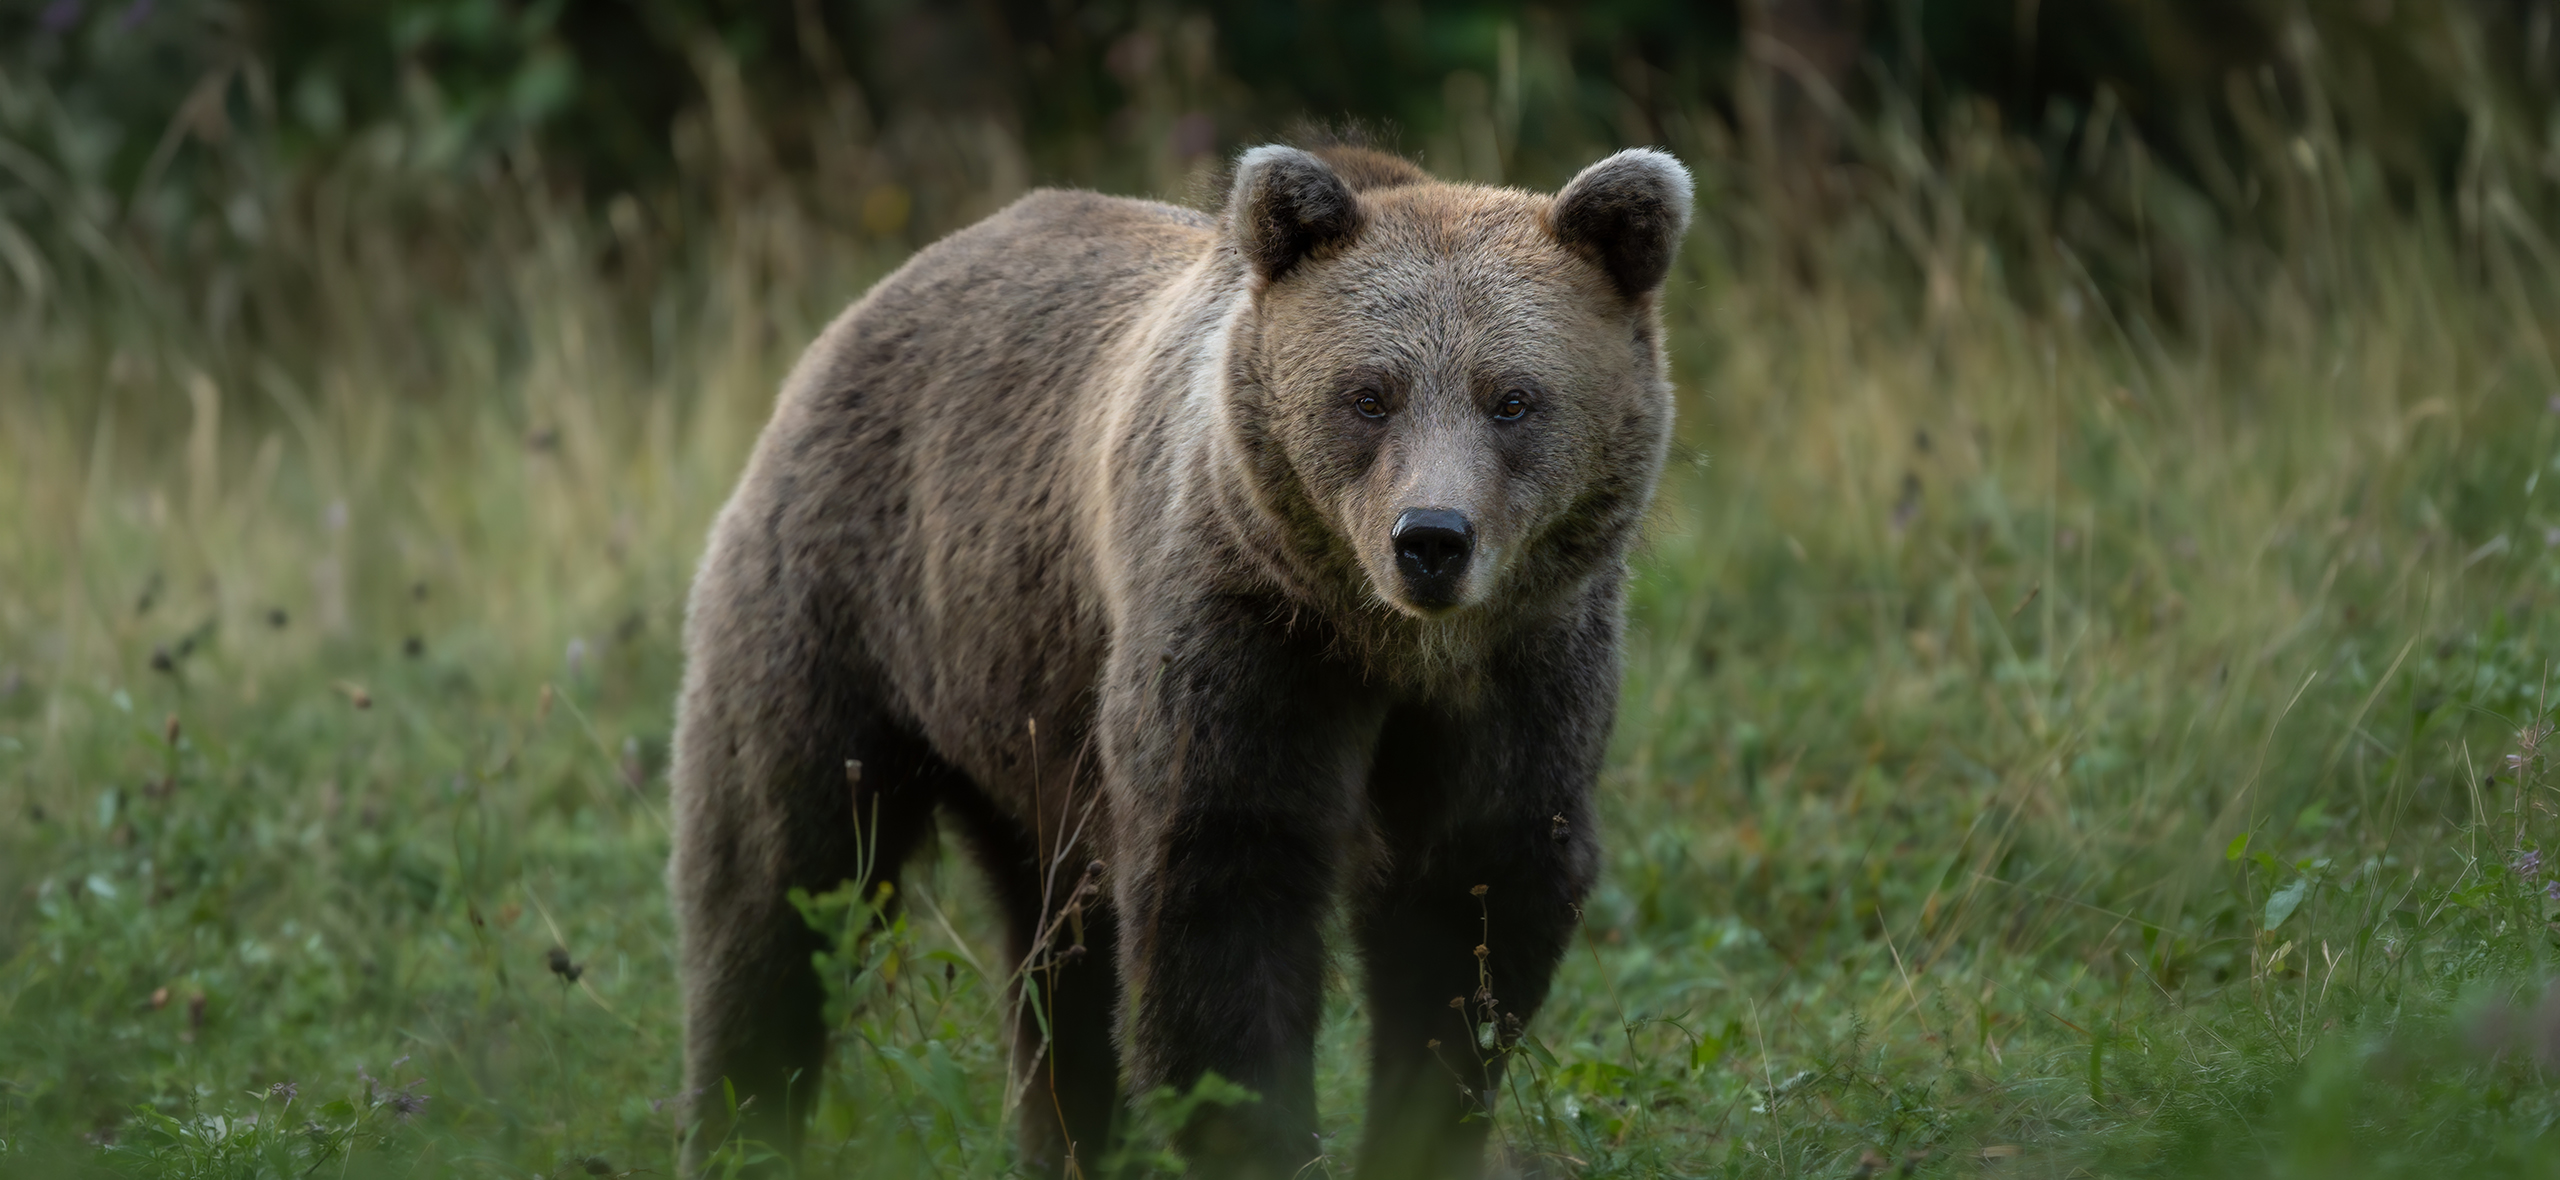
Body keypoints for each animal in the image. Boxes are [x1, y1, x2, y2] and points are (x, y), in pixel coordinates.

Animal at [667, 141, 1691, 1178]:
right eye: (1368, 395)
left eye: (1512, 400)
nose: (1432, 539)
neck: (1390, 644)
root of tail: (867, 306)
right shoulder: (1246, 635)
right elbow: (1222, 897)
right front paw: (1261, 1136)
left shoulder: (1527, 666)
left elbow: (1472, 904)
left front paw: (1421, 1125)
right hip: (852, 609)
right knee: (781, 879)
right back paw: (741, 1120)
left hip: (1029, 716)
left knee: (1056, 953)